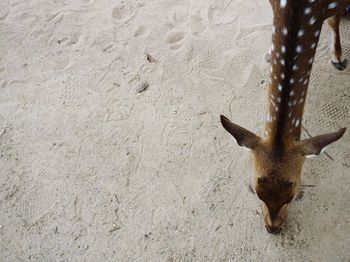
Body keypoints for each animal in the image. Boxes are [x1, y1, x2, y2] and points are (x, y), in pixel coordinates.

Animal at [220, 0, 348, 233]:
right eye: (256, 192)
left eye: (293, 196)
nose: (273, 229)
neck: (301, 6)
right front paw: (271, 53)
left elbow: (334, 20)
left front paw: (338, 57)